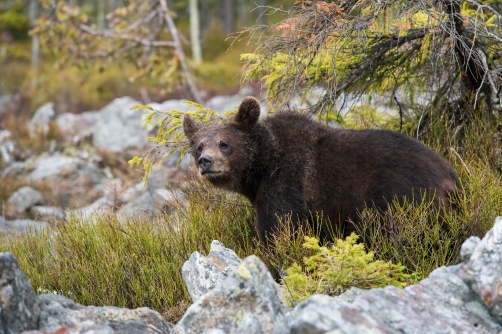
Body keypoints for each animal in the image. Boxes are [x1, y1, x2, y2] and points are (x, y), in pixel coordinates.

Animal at [182, 95, 460, 244]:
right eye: (198, 145)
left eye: (224, 143)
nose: (205, 161)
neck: (260, 170)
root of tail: (448, 176)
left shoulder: (285, 184)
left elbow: (280, 230)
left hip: (403, 199)